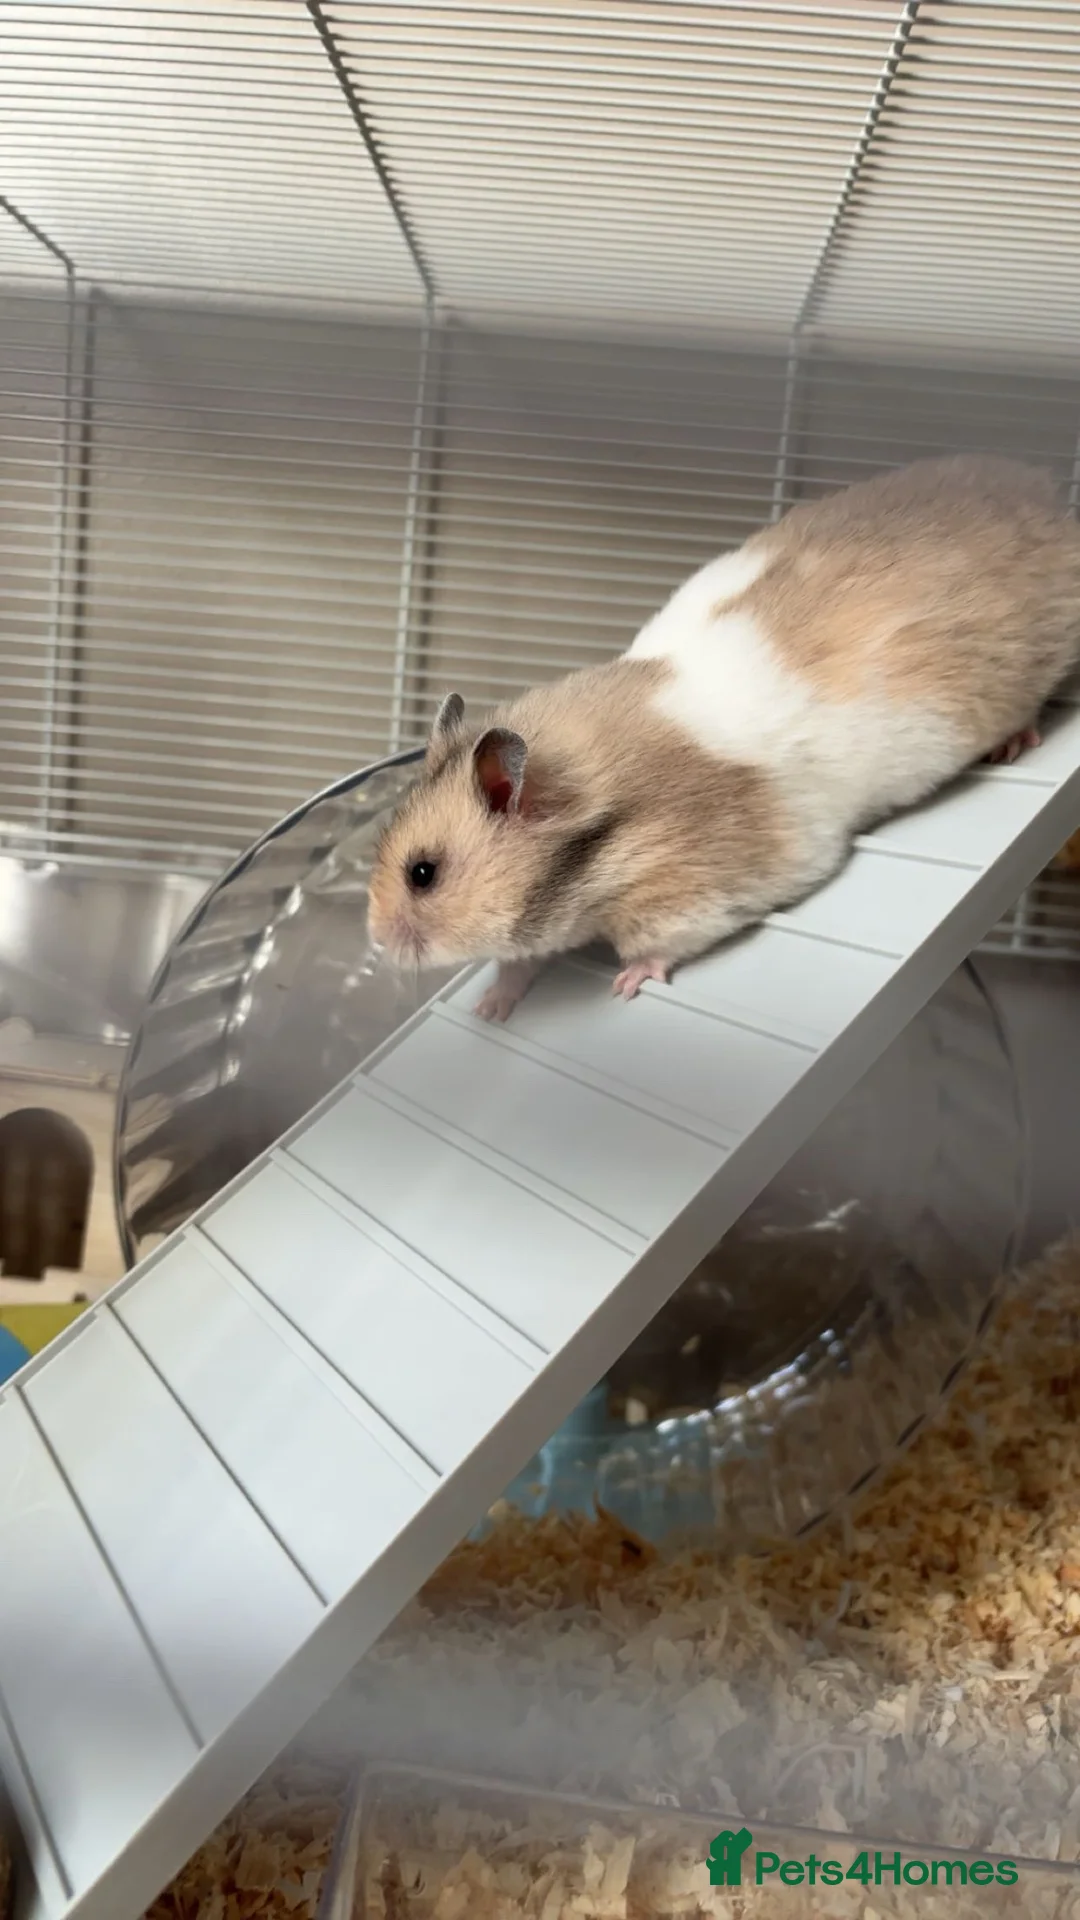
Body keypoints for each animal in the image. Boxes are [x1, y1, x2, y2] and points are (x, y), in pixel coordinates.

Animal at [367, 454, 1080, 1022]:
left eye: (423, 874)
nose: (374, 942)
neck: (585, 860)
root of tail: (1049, 496)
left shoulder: (690, 888)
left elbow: (660, 943)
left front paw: (625, 985)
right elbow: (516, 963)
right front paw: (490, 1012)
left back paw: (1015, 742)